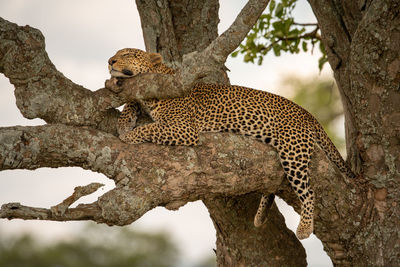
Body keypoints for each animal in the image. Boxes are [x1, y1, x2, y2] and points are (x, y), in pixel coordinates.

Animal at [108, 48, 354, 241]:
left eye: (127, 54)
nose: (110, 61)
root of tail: (307, 114)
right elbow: (132, 104)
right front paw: (124, 121)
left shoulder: (184, 128)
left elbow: (149, 128)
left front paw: (129, 135)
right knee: (273, 188)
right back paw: (260, 217)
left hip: (292, 152)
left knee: (309, 191)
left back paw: (304, 228)